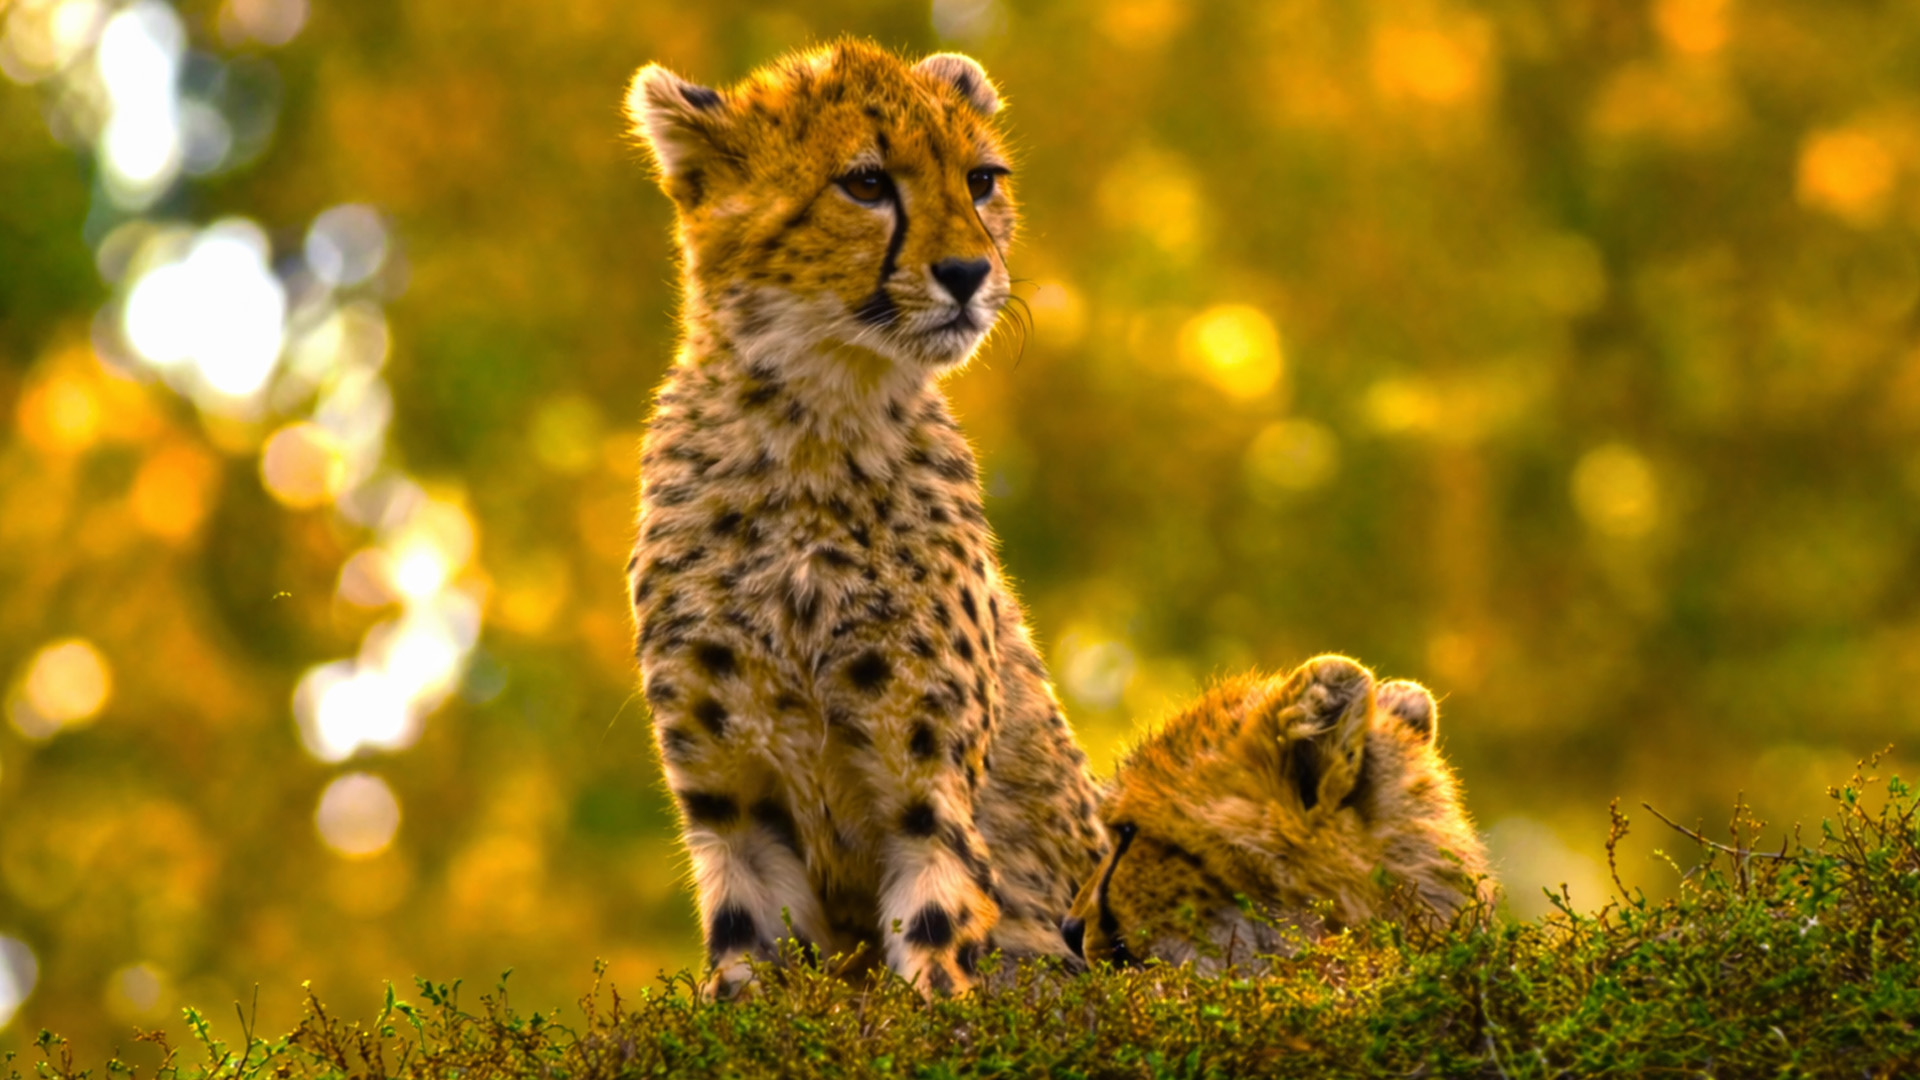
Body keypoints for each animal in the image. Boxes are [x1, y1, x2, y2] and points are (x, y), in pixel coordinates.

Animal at [622, 40, 1105, 998]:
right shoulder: (734, 810)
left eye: (981, 180)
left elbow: (938, 943)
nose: (969, 274)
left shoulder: (928, 797)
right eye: (866, 182)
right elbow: (746, 964)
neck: (813, 425)